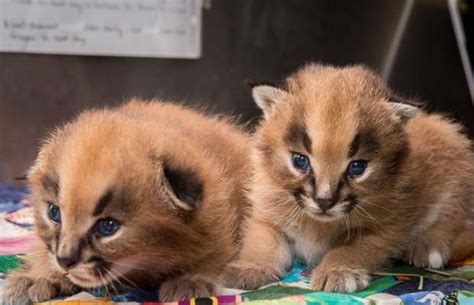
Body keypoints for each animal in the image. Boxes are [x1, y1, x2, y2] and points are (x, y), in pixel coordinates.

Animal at [2, 99, 252, 302]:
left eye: (108, 226)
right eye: (54, 213)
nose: (64, 259)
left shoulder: (217, 215)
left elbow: (216, 250)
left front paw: (191, 279)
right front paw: (40, 276)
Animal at [224, 63, 474, 292]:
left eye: (357, 167)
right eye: (299, 161)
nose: (324, 201)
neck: (318, 224)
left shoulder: (384, 228)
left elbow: (350, 249)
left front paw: (337, 272)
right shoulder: (266, 214)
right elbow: (261, 241)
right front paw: (251, 268)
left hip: (454, 175)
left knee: (454, 219)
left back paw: (428, 247)